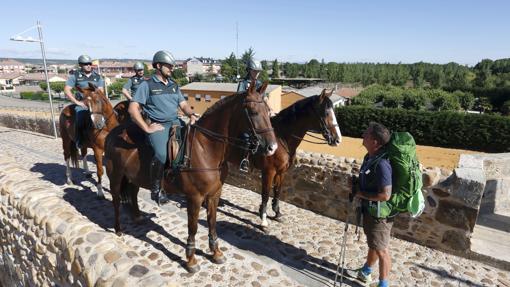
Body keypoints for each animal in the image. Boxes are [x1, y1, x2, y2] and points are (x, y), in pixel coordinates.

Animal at [104, 80, 278, 272]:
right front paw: (191, 259)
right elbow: (193, 226)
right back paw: (118, 229)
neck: (205, 148)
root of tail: (113, 133)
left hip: (134, 178)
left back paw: (137, 217)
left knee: (133, 194)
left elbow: (212, 222)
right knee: (116, 200)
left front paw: (216, 252)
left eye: (268, 111)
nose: (272, 147)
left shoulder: (214, 195)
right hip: (116, 176)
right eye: (253, 112)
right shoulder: (194, 198)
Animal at [228, 89, 340, 231]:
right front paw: (263, 220)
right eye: (326, 113)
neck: (282, 138)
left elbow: (277, 191)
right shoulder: (268, 172)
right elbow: (265, 194)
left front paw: (277, 213)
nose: (338, 139)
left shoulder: (281, 171)